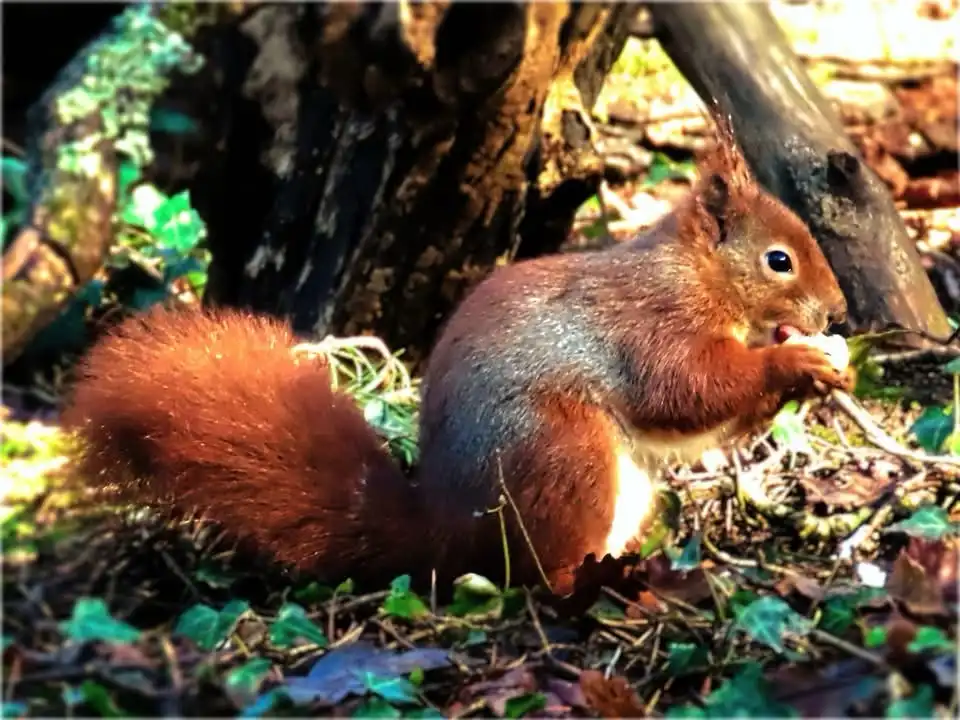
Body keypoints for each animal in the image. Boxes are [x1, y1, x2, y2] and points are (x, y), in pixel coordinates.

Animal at [61, 117, 853, 597]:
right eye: (779, 260)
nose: (837, 313)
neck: (696, 275)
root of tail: (445, 535)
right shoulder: (648, 325)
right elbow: (684, 389)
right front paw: (797, 364)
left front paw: (821, 365)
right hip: (563, 454)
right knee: (537, 576)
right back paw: (601, 584)